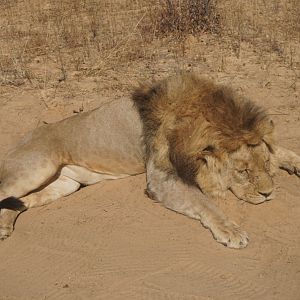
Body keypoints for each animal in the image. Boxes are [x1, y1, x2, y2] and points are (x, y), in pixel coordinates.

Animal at [0, 72, 300, 248]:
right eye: (243, 172)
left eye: (264, 166)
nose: (269, 194)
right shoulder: (162, 177)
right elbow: (205, 203)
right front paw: (231, 230)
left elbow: (280, 150)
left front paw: (293, 162)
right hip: (38, 166)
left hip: (63, 185)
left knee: (20, 201)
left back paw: (4, 225)